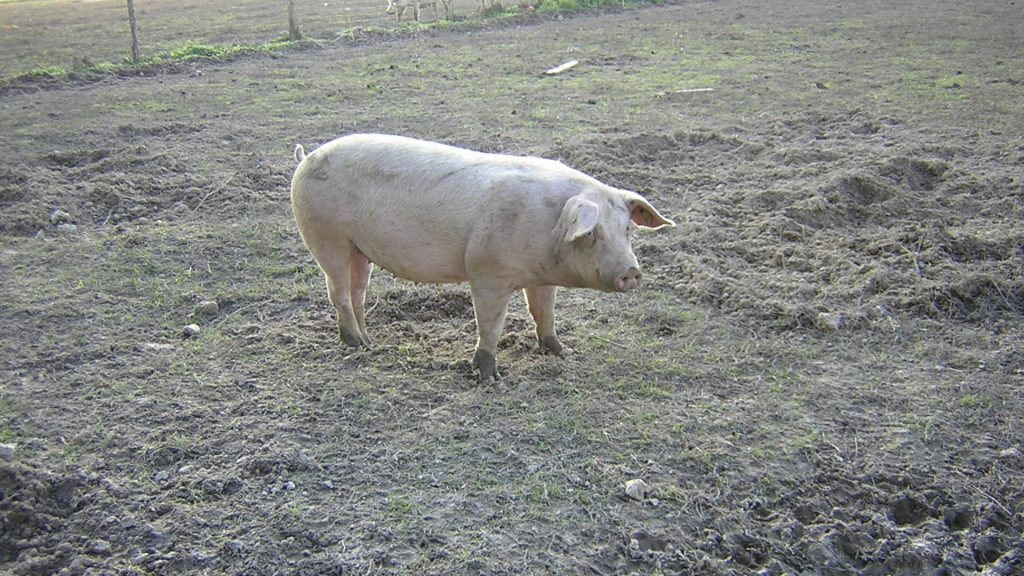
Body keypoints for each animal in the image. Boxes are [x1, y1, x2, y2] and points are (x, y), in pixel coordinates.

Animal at [290, 134, 674, 383]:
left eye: (627, 229)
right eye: (592, 232)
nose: (632, 272)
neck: (547, 229)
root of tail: (307, 157)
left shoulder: (541, 279)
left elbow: (544, 314)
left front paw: (562, 353)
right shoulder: (487, 272)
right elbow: (491, 325)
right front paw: (490, 377)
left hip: (360, 250)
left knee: (358, 293)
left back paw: (370, 343)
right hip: (327, 238)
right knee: (338, 293)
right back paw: (354, 344)